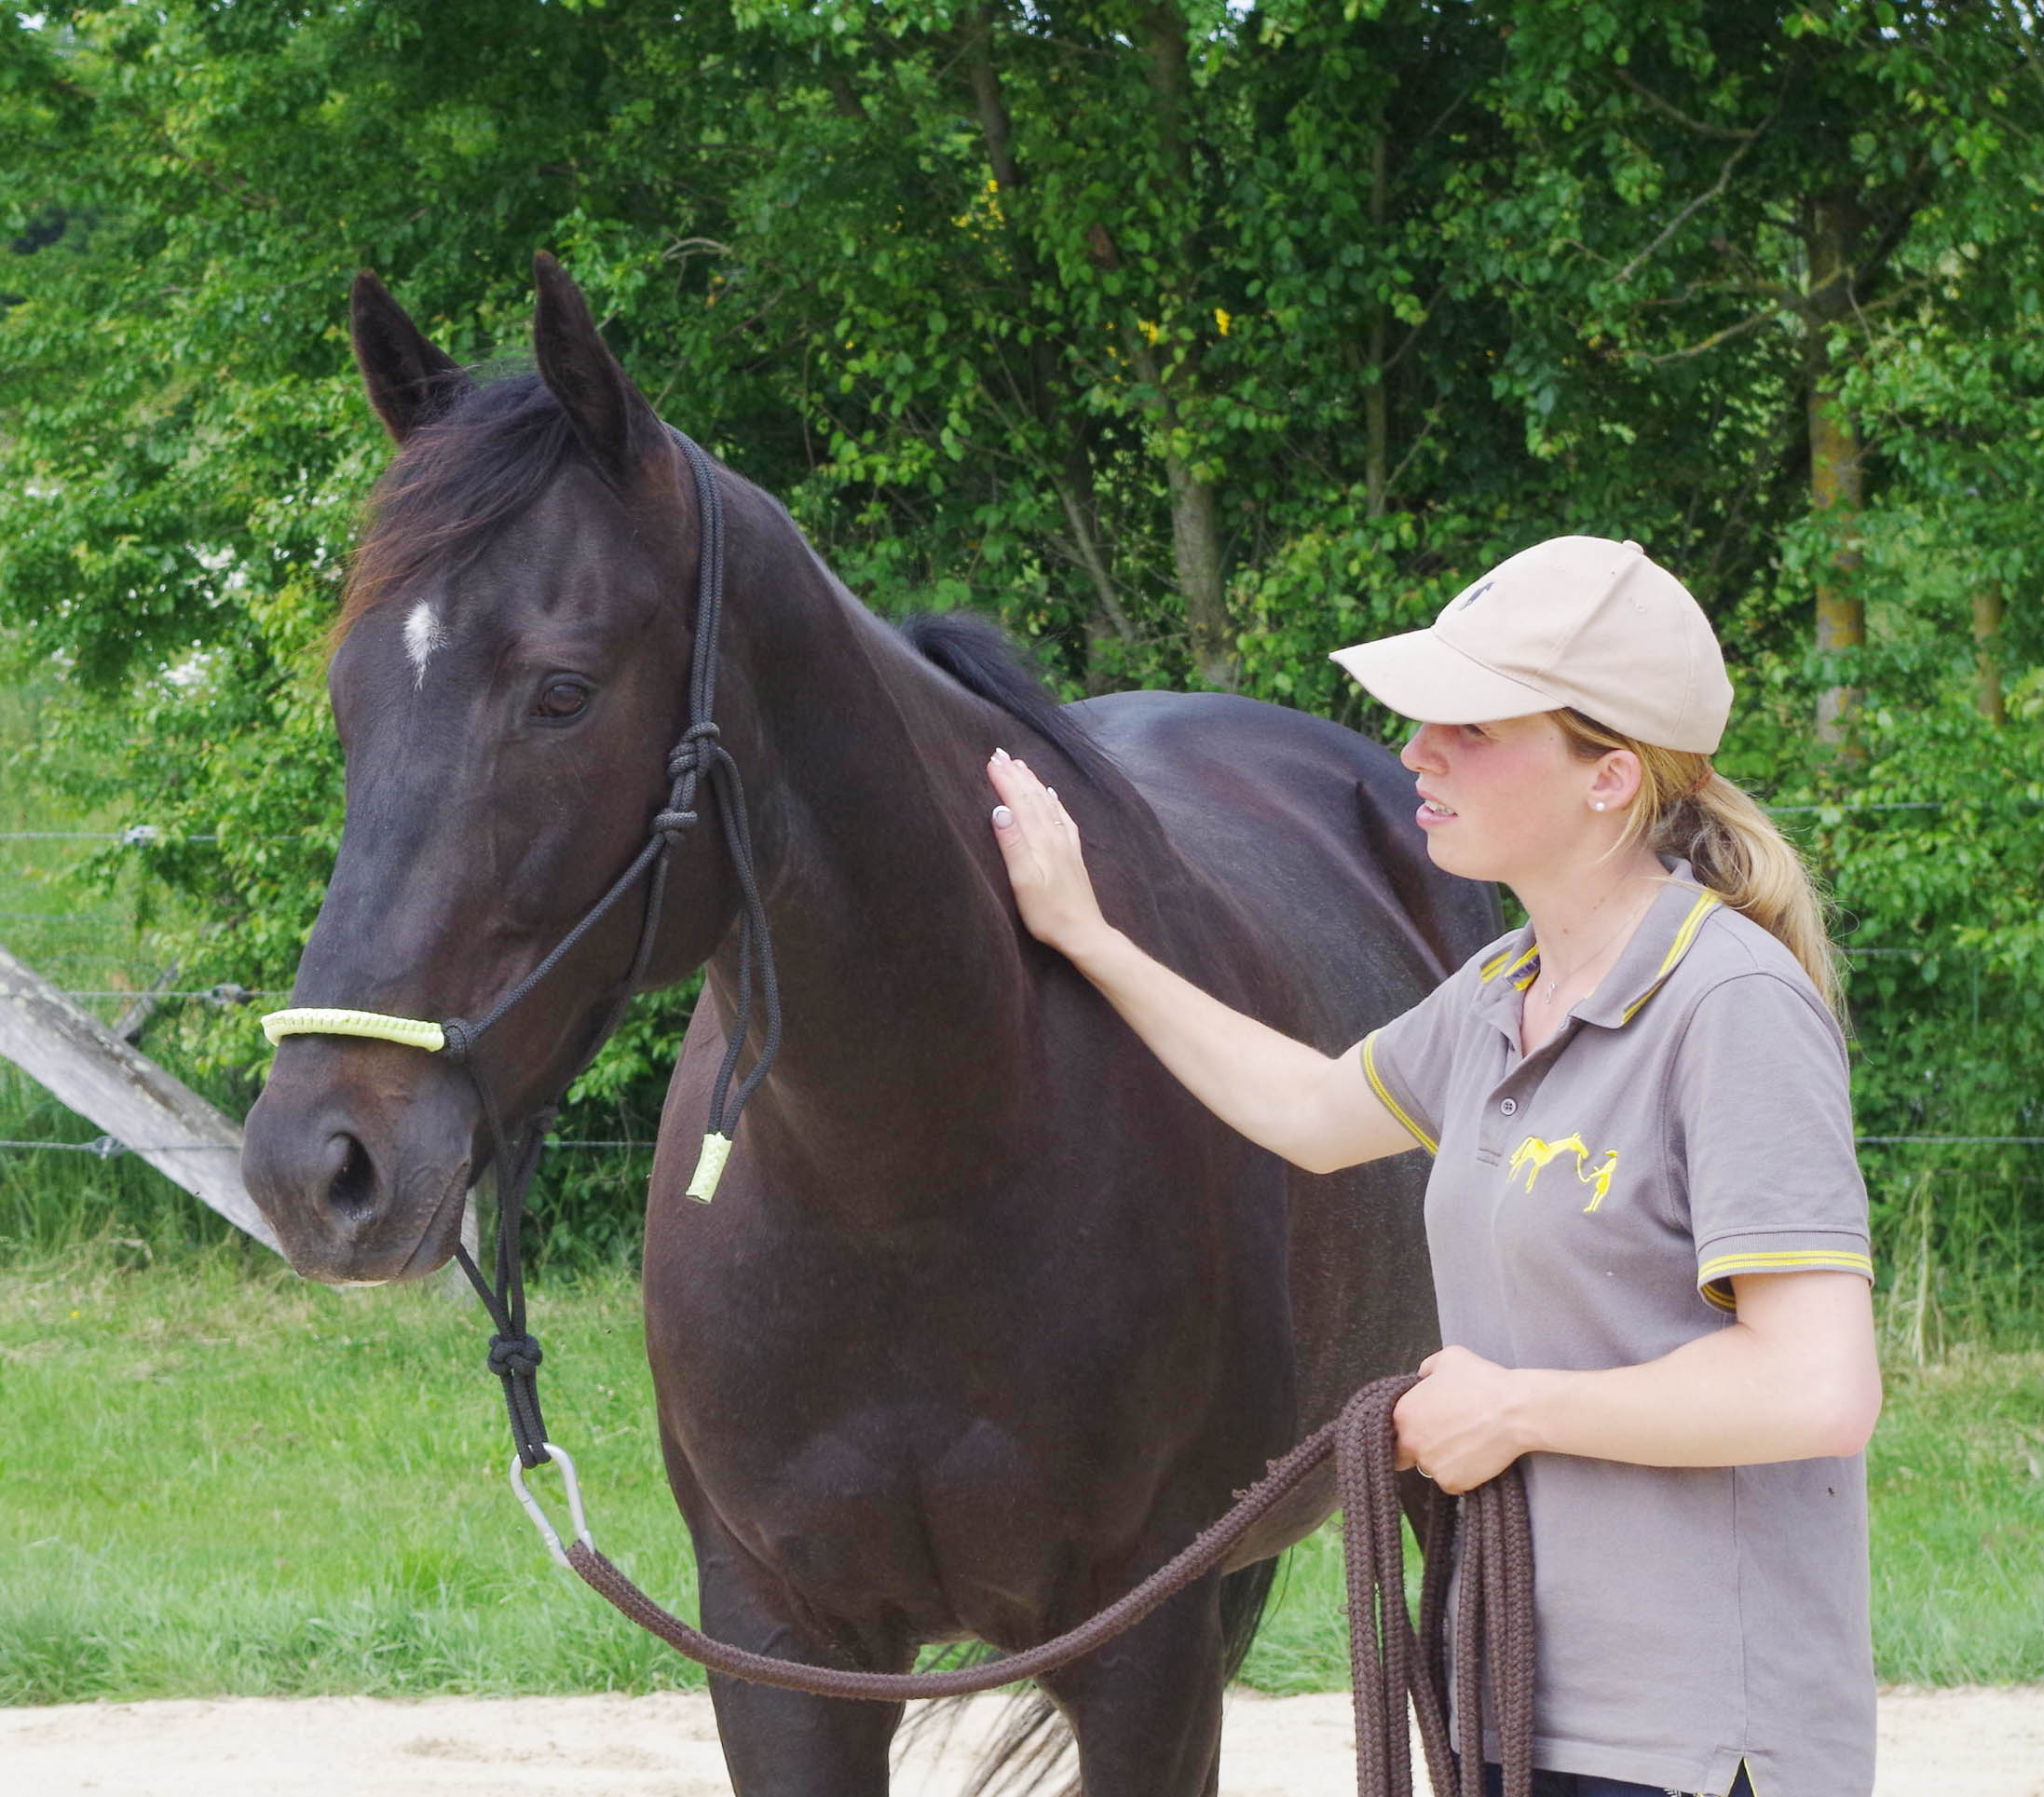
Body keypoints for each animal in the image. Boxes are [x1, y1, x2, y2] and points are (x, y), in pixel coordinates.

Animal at [238, 256, 1496, 1797]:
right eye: (348, 695)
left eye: (561, 691)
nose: (319, 1163)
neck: (911, 1175)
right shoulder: (782, 1647)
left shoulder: (1140, 1651)